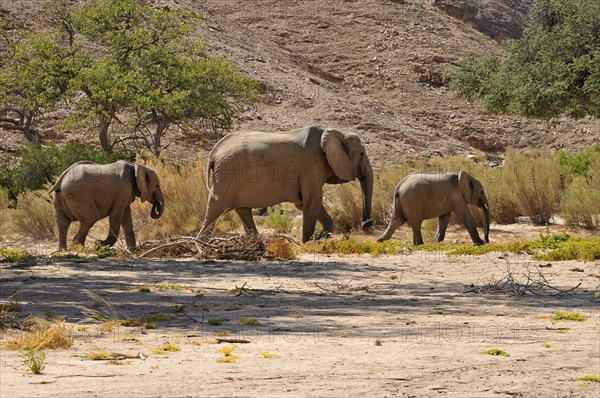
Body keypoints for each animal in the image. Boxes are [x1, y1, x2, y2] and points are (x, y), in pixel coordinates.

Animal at [199, 126, 372, 241]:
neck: (336, 133)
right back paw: (200, 243)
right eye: (362, 153)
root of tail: (214, 152)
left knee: (243, 209)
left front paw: (320, 238)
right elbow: (312, 202)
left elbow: (304, 204)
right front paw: (308, 242)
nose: (366, 224)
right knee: (216, 207)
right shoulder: (311, 167)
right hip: (227, 173)